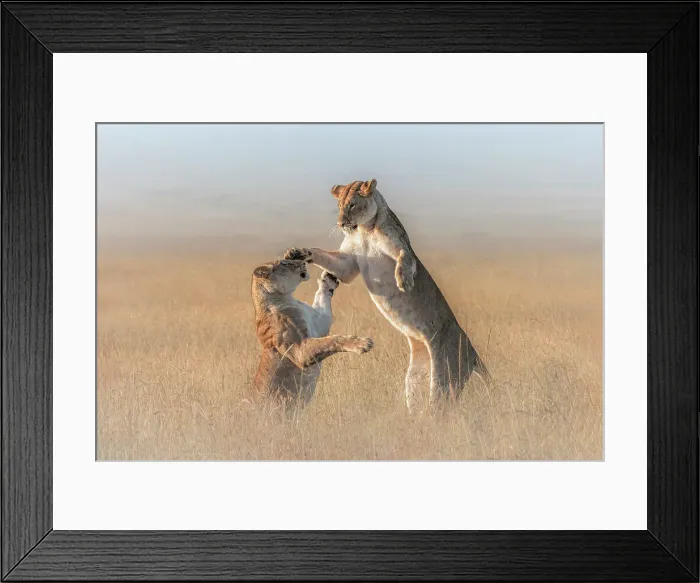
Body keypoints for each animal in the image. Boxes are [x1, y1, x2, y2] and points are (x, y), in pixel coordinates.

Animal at [251, 258, 374, 411]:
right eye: (284, 264)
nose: (302, 262)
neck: (285, 297)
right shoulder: (299, 351)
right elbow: (331, 341)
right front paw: (362, 343)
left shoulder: (319, 321)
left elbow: (322, 298)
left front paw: (328, 278)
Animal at [285, 179, 490, 412]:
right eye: (339, 206)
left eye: (352, 205)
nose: (341, 223)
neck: (364, 230)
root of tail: (472, 352)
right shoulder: (347, 264)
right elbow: (320, 253)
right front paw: (299, 252)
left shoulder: (402, 248)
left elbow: (404, 258)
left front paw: (404, 281)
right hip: (416, 379)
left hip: (444, 379)